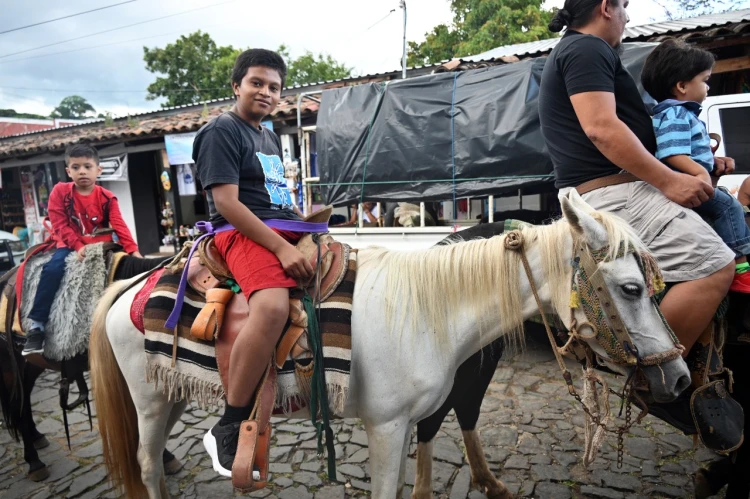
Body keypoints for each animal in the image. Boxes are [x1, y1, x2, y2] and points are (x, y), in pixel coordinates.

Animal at [89, 192, 692, 499]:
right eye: (631, 288)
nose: (681, 377)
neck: (429, 312)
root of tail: (134, 284)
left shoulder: (409, 426)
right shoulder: (385, 427)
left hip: (172, 394)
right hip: (150, 401)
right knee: (146, 466)